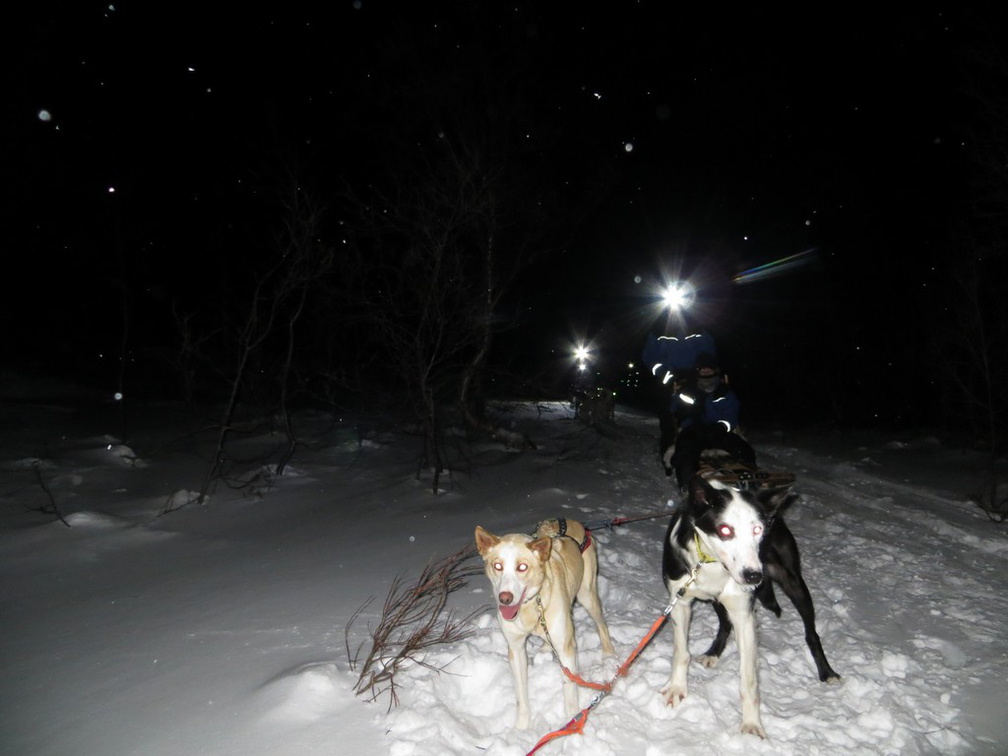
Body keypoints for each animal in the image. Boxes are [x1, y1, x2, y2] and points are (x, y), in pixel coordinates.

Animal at [657, 475, 838, 737]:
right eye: (725, 530)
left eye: (758, 529)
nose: (754, 576)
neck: (711, 562)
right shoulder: (680, 602)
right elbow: (681, 653)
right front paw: (677, 688)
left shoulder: (744, 614)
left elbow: (749, 680)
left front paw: (752, 724)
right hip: (719, 600)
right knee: (724, 623)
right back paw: (713, 653)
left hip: (793, 582)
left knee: (811, 633)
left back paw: (827, 672)